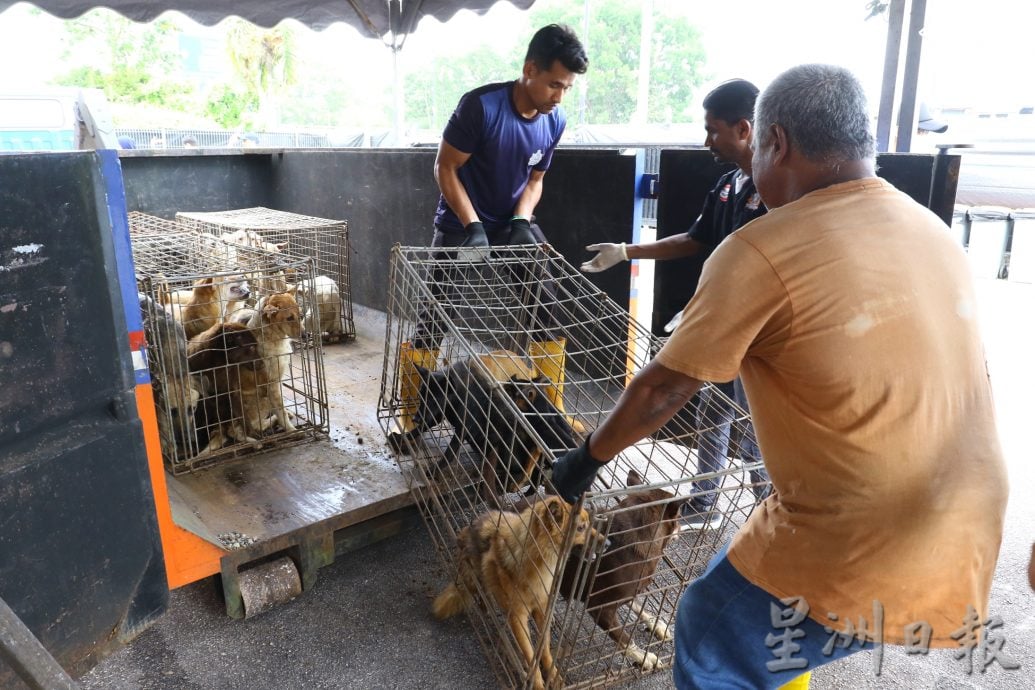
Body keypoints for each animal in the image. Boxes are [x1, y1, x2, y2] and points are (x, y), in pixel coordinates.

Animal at [430, 496, 604, 690]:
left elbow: (543, 648)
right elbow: (530, 655)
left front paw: (552, 673)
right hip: (472, 577)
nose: (608, 543)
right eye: (581, 527)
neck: (536, 560)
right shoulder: (517, 618)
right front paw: (538, 684)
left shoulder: (542, 610)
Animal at [558, 471, 687, 670]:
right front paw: (642, 656)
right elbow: (624, 638)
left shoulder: (630, 590)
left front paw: (655, 624)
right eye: (678, 516)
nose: (681, 528)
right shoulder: (600, 608)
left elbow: (639, 606)